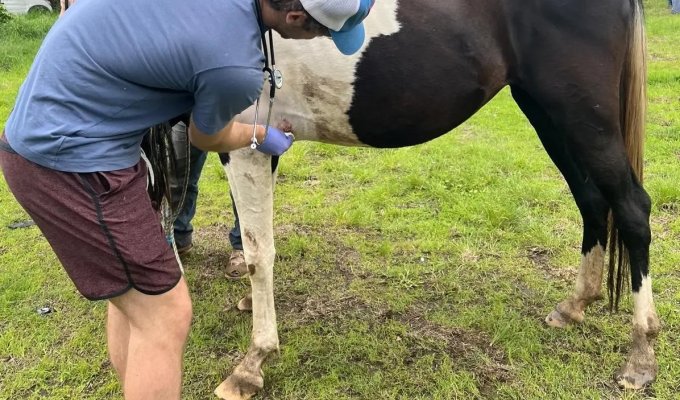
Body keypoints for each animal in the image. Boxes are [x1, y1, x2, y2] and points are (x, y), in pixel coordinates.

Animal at [178, 0, 658, 398]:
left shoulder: (245, 145)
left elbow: (259, 253)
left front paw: (252, 363)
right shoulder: (263, 141)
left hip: (584, 116)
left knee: (632, 209)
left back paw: (641, 356)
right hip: (549, 112)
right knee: (592, 202)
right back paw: (575, 306)